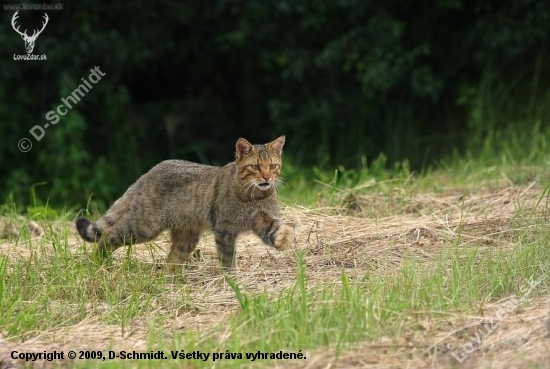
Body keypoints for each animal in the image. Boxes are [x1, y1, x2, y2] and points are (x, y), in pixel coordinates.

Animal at [77, 136, 296, 274]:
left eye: (273, 166)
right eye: (256, 167)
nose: (267, 177)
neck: (255, 196)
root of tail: (148, 173)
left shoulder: (262, 218)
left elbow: (277, 229)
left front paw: (284, 238)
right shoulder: (224, 230)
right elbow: (227, 257)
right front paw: (232, 280)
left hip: (187, 236)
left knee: (171, 260)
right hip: (143, 227)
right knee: (108, 235)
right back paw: (98, 262)